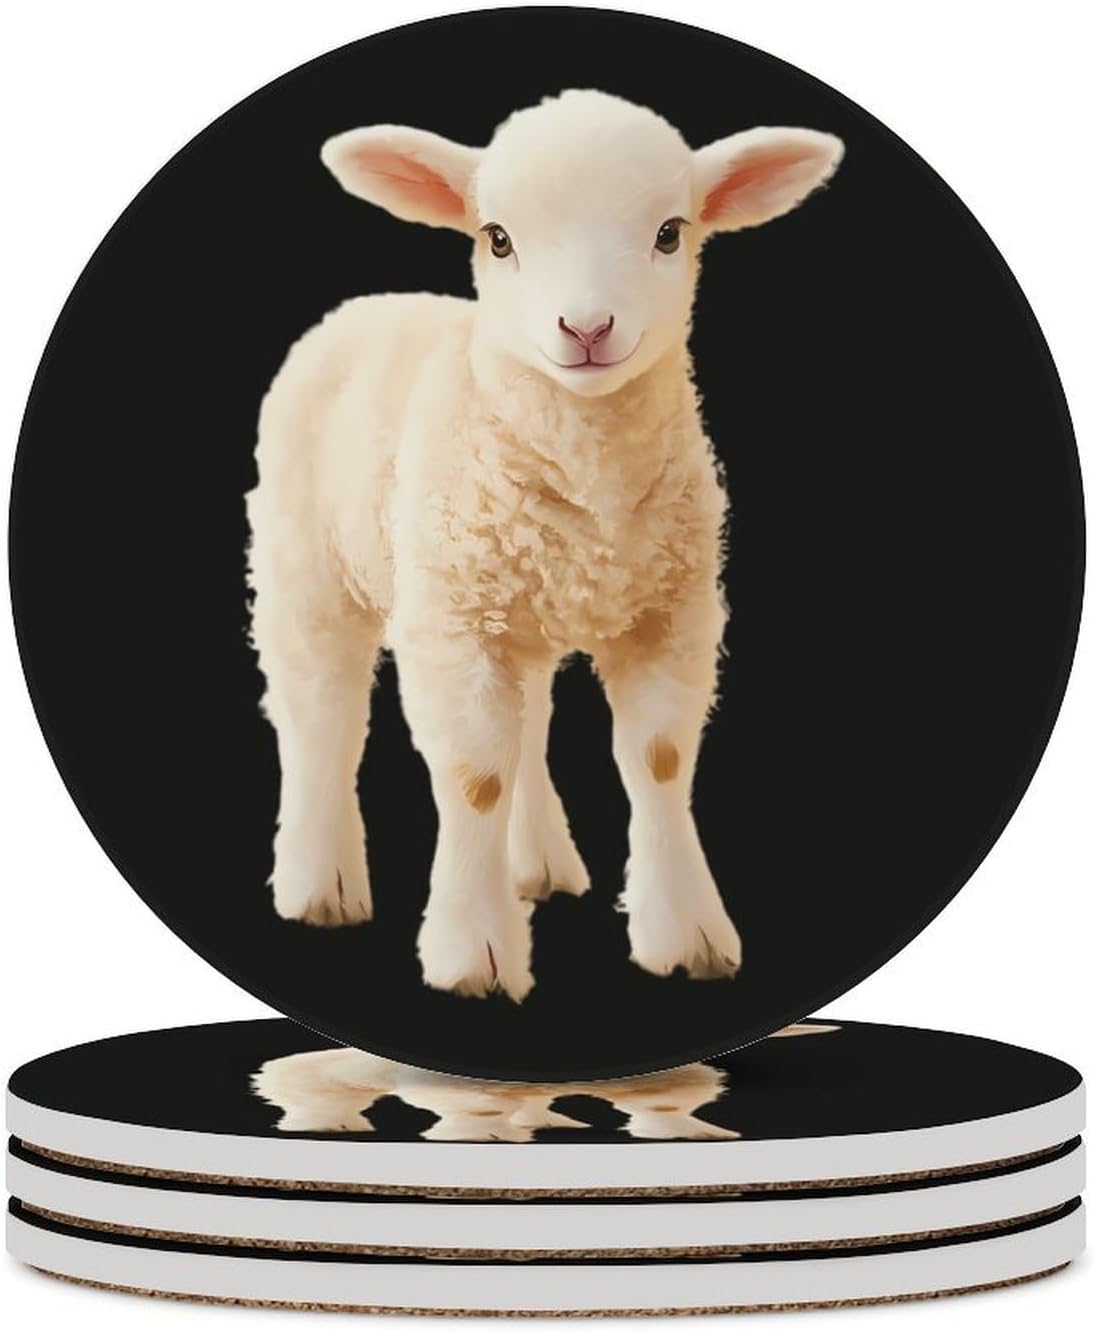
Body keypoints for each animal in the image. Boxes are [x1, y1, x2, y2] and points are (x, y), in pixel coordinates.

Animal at [245, 90, 843, 1002]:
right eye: (497, 238)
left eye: (669, 232)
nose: (586, 328)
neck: (590, 480)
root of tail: (363, 302)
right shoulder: (451, 620)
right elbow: (472, 775)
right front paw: (474, 950)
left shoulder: (670, 610)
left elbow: (657, 759)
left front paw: (685, 932)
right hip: (306, 559)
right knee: (320, 713)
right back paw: (320, 881)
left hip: (517, 606)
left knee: (525, 724)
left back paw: (536, 863)